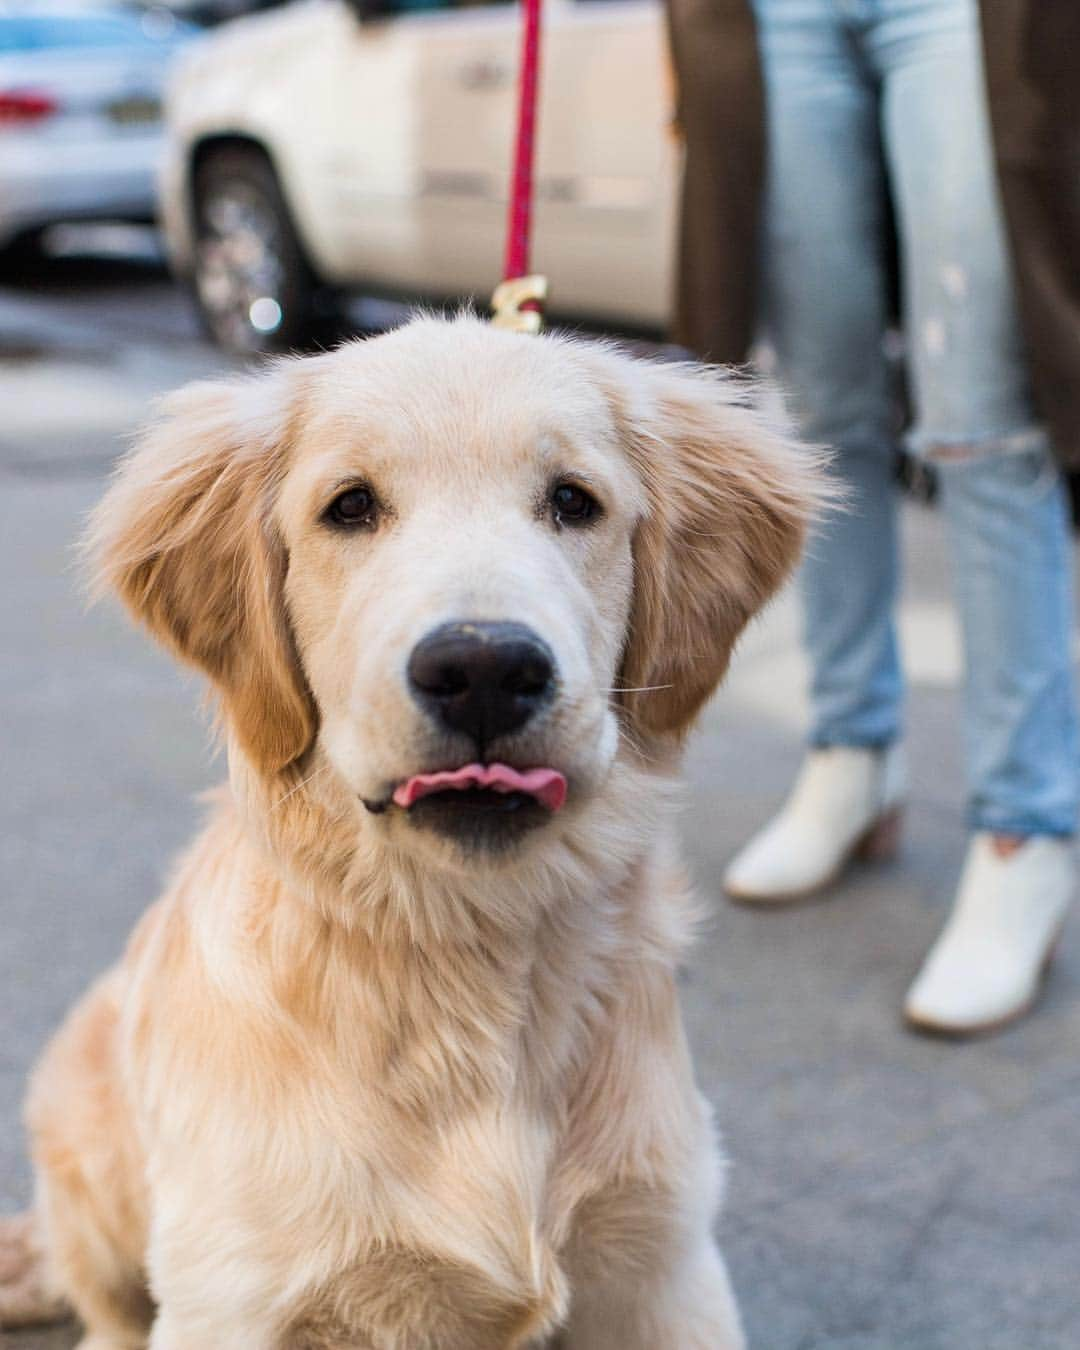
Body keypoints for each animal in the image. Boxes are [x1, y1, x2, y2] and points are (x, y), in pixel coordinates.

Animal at [0, 315, 820, 1350]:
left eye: (573, 501)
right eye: (350, 507)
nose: (485, 669)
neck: (467, 950)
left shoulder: (662, 1265)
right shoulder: (232, 1295)